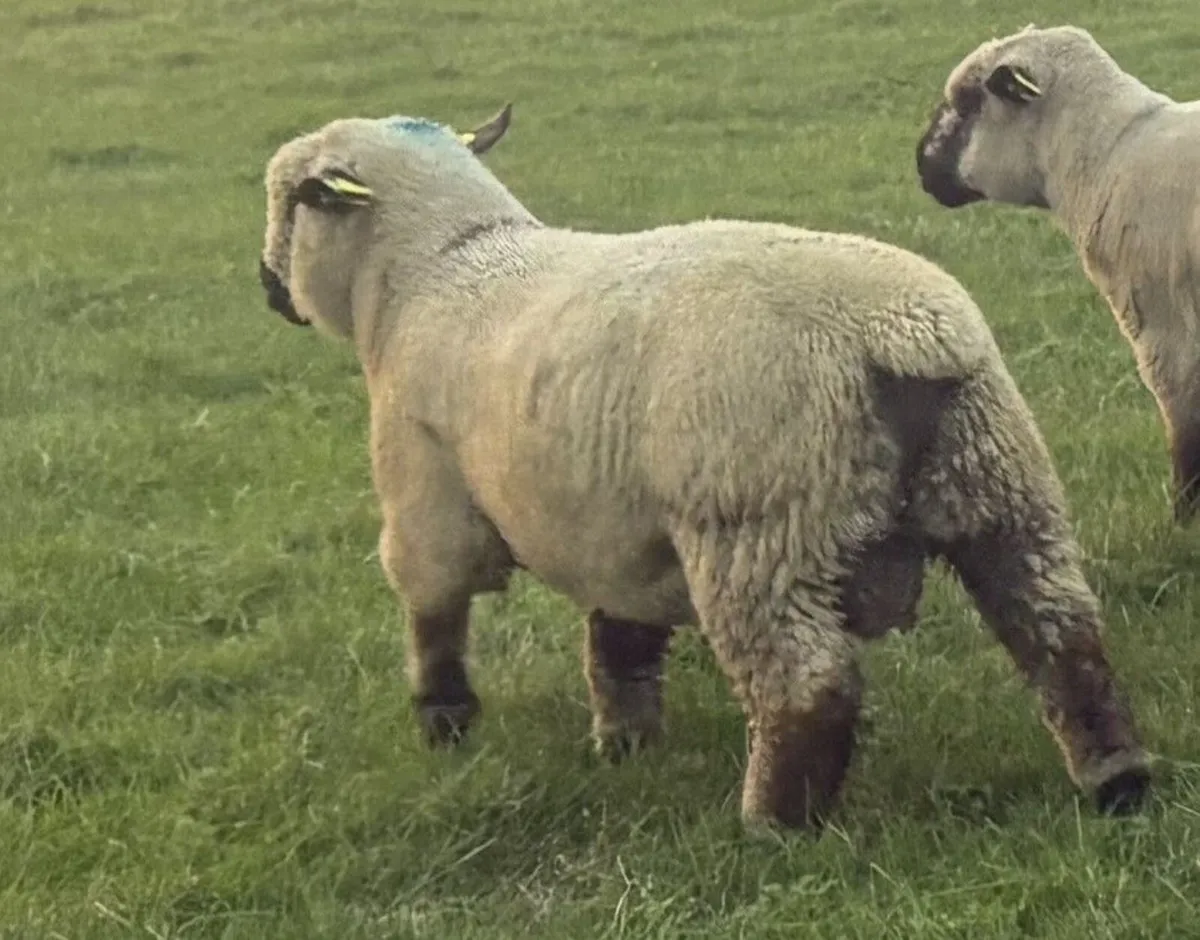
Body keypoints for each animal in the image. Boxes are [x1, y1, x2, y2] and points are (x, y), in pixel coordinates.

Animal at [257, 104, 1152, 832]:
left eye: (294, 199)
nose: (268, 288)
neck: (443, 264)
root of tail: (899, 336)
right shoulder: (614, 528)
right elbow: (619, 641)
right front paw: (626, 745)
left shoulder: (425, 495)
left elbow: (435, 615)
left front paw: (445, 726)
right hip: (999, 485)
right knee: (1060, 634)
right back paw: (1117, 779)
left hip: (762, 530)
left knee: (806, 687)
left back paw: (774, 825)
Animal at [916, 23, 1200, 522]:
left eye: (969, 101)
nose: (919, 163)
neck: (1104, 161)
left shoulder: (1167, 336)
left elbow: (1184, 440)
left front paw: (1181, 525)